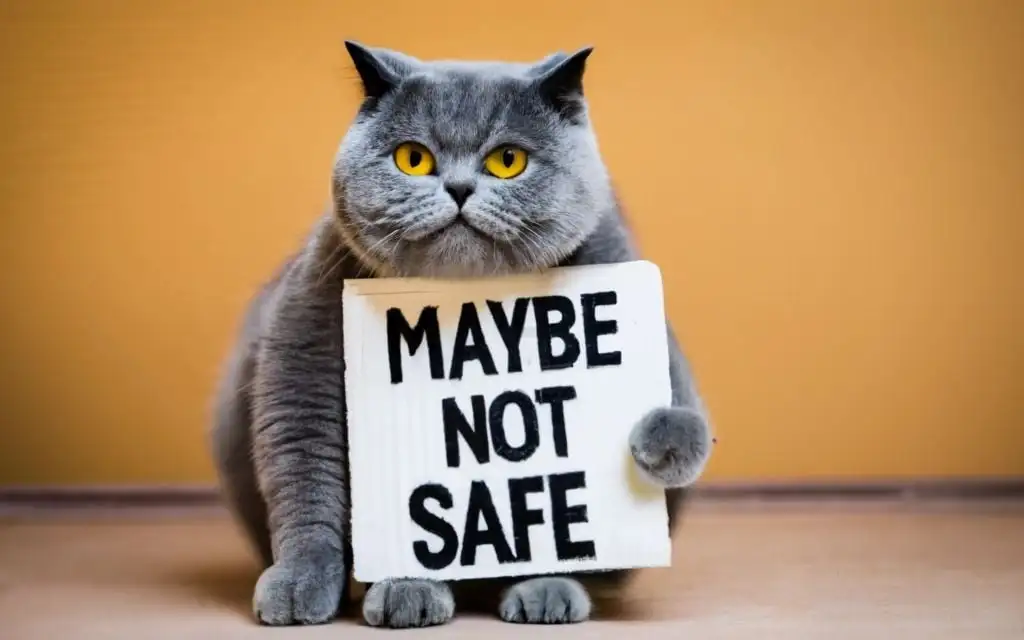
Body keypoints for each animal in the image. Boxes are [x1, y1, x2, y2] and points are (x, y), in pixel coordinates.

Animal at [209, 41, 712, 630]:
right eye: (413, 159)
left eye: (508, 160)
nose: (459, 187)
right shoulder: (303, 353)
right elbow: (305, 479)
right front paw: (298, 584)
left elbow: (684, 413)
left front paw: (662, 440)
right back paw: (409, 589)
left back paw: (543, 590)